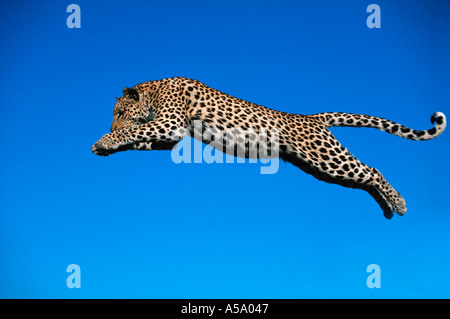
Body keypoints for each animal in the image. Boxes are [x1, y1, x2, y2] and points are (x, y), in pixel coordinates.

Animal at [91, 77, 446, 220]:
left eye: (119, 113)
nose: (112, 127)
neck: (154, 90)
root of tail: (311, 117)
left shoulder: (170, 122)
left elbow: (138, 130)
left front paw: (103, 140)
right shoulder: (167, 134)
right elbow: (140, 138)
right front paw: (106, 145)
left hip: (327, 157)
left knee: (371, 170)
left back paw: (398, 204)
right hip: (320, 168)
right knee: (364, 180)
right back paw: (386, 208)